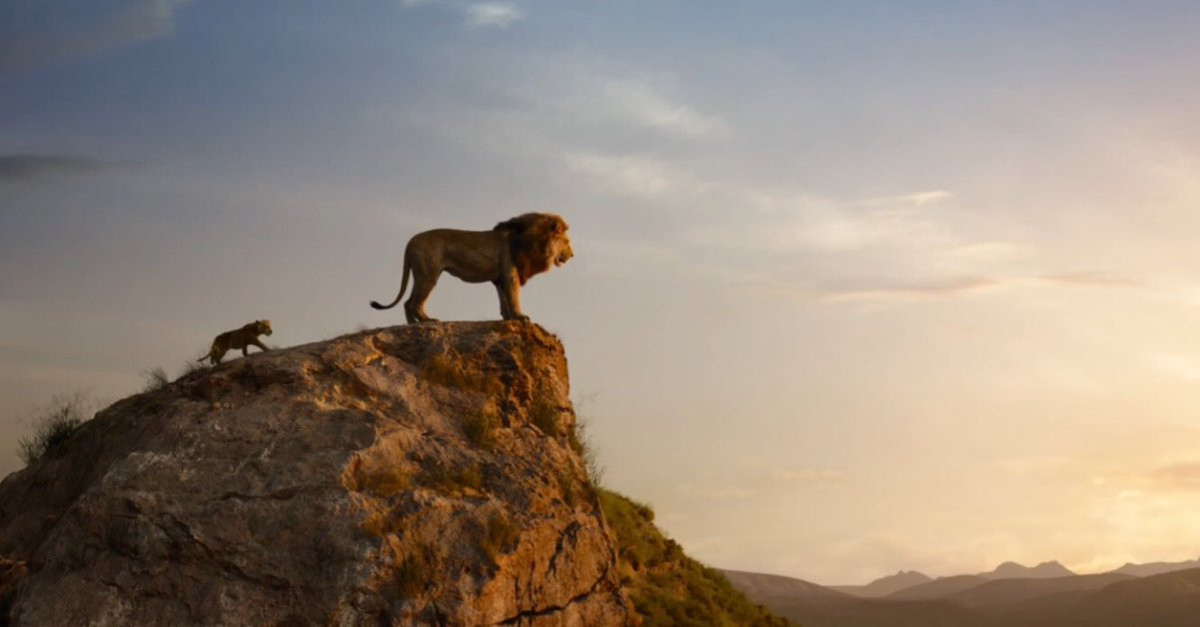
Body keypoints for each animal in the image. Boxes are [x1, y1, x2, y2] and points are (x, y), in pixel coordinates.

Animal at [370, 213, 573, 323]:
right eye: (567, 241)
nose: (572, 255)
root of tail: (410, 242)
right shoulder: (511, 273)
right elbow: (514, 296)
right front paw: (520, 317)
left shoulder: (499, 277)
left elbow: (504, 299)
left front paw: (508, 318)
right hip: (429, 274)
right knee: (414, 303)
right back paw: (427, 321)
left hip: (420, 273)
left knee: (407, 303)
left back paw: (413, 325)